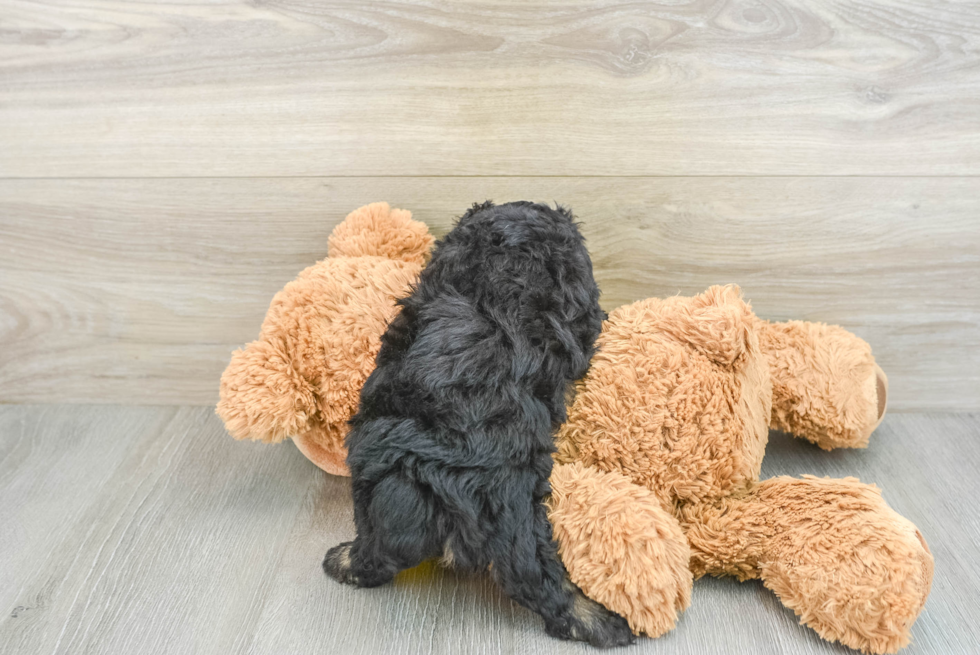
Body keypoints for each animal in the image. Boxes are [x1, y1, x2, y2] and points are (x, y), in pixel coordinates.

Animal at [326, 202, 632, 648]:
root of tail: (439, 477)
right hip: (516, 511)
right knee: (532, 575)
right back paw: (601, 621)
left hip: (373, 481)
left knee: (378, 551)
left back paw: (345, 561)